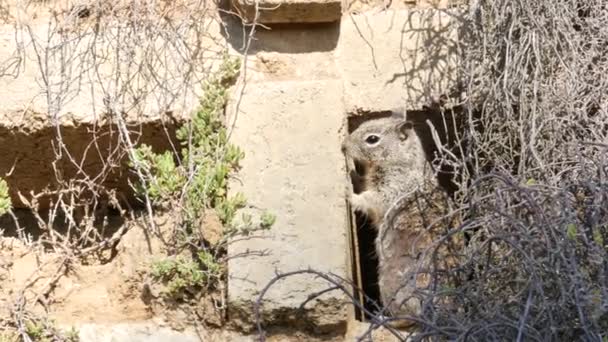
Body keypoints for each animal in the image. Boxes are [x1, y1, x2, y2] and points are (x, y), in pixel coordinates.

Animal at [342, 113, 446, 328]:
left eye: (372, 139)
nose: (343, 146)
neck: (403, 159)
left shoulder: (390, 189)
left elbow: (369, 200)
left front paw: (350, 191)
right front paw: (354, 175)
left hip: (389, 284)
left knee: (407, 319)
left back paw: (384, 320)